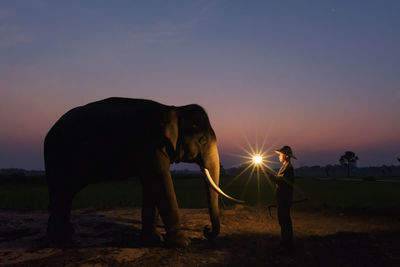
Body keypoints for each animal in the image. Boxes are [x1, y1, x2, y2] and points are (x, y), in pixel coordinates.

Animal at [44, 97, 244, 248]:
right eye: (202, 140)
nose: (205, 230)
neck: (172, 109)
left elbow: (150, 183)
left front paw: (154, 241)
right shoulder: (150, 144)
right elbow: (160, 179)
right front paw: (183, 243)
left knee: (62, 195)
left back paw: (60, 237)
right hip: (59, 154)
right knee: (63, 192)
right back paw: (66, 241)